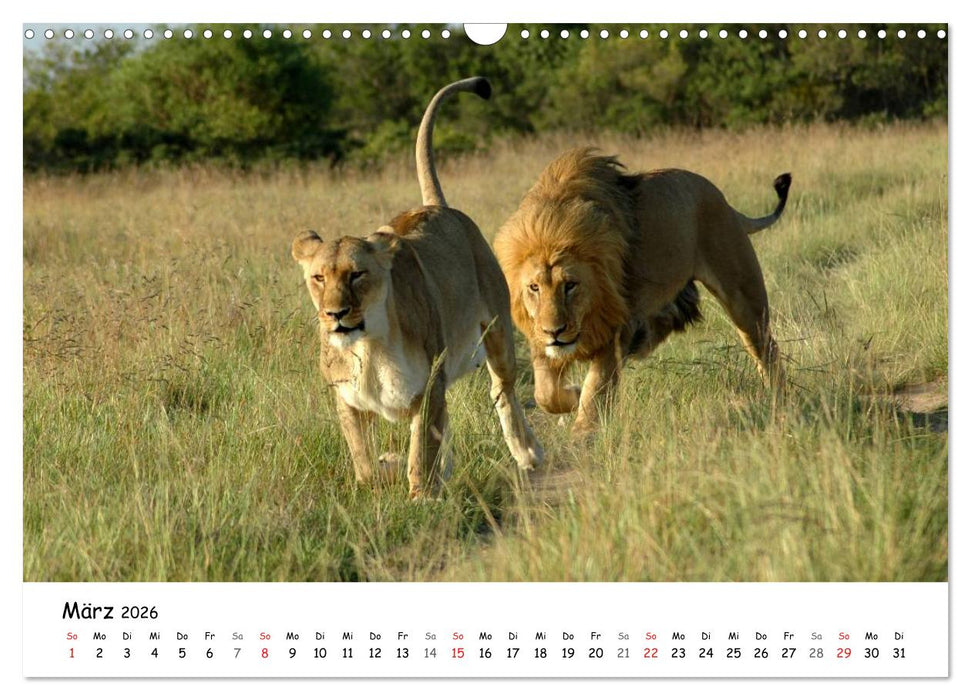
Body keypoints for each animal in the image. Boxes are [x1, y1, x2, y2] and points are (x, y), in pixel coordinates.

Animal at [292, 77, 543, 498]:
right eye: (319, 278)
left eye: (357, 275)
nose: (335, 314)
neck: (369, 345)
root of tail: (438, 206)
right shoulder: (347, 400)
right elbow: (364, 459)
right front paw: (381, 475)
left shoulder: (427, 388)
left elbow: (420, 449)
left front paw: (421, 496)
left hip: (498, 334)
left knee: (504, 391)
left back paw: (528, 454)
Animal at [493, 148, 791, 433]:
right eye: (534, 288)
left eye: (570, 285)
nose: (554, 332)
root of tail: (726, 203)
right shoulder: (540, 336)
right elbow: (545, 393)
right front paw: (572, 397)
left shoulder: (616, 331)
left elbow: (596, 387)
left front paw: (582, 431)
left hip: (743, 297)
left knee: (766, 349)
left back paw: (779, 401)